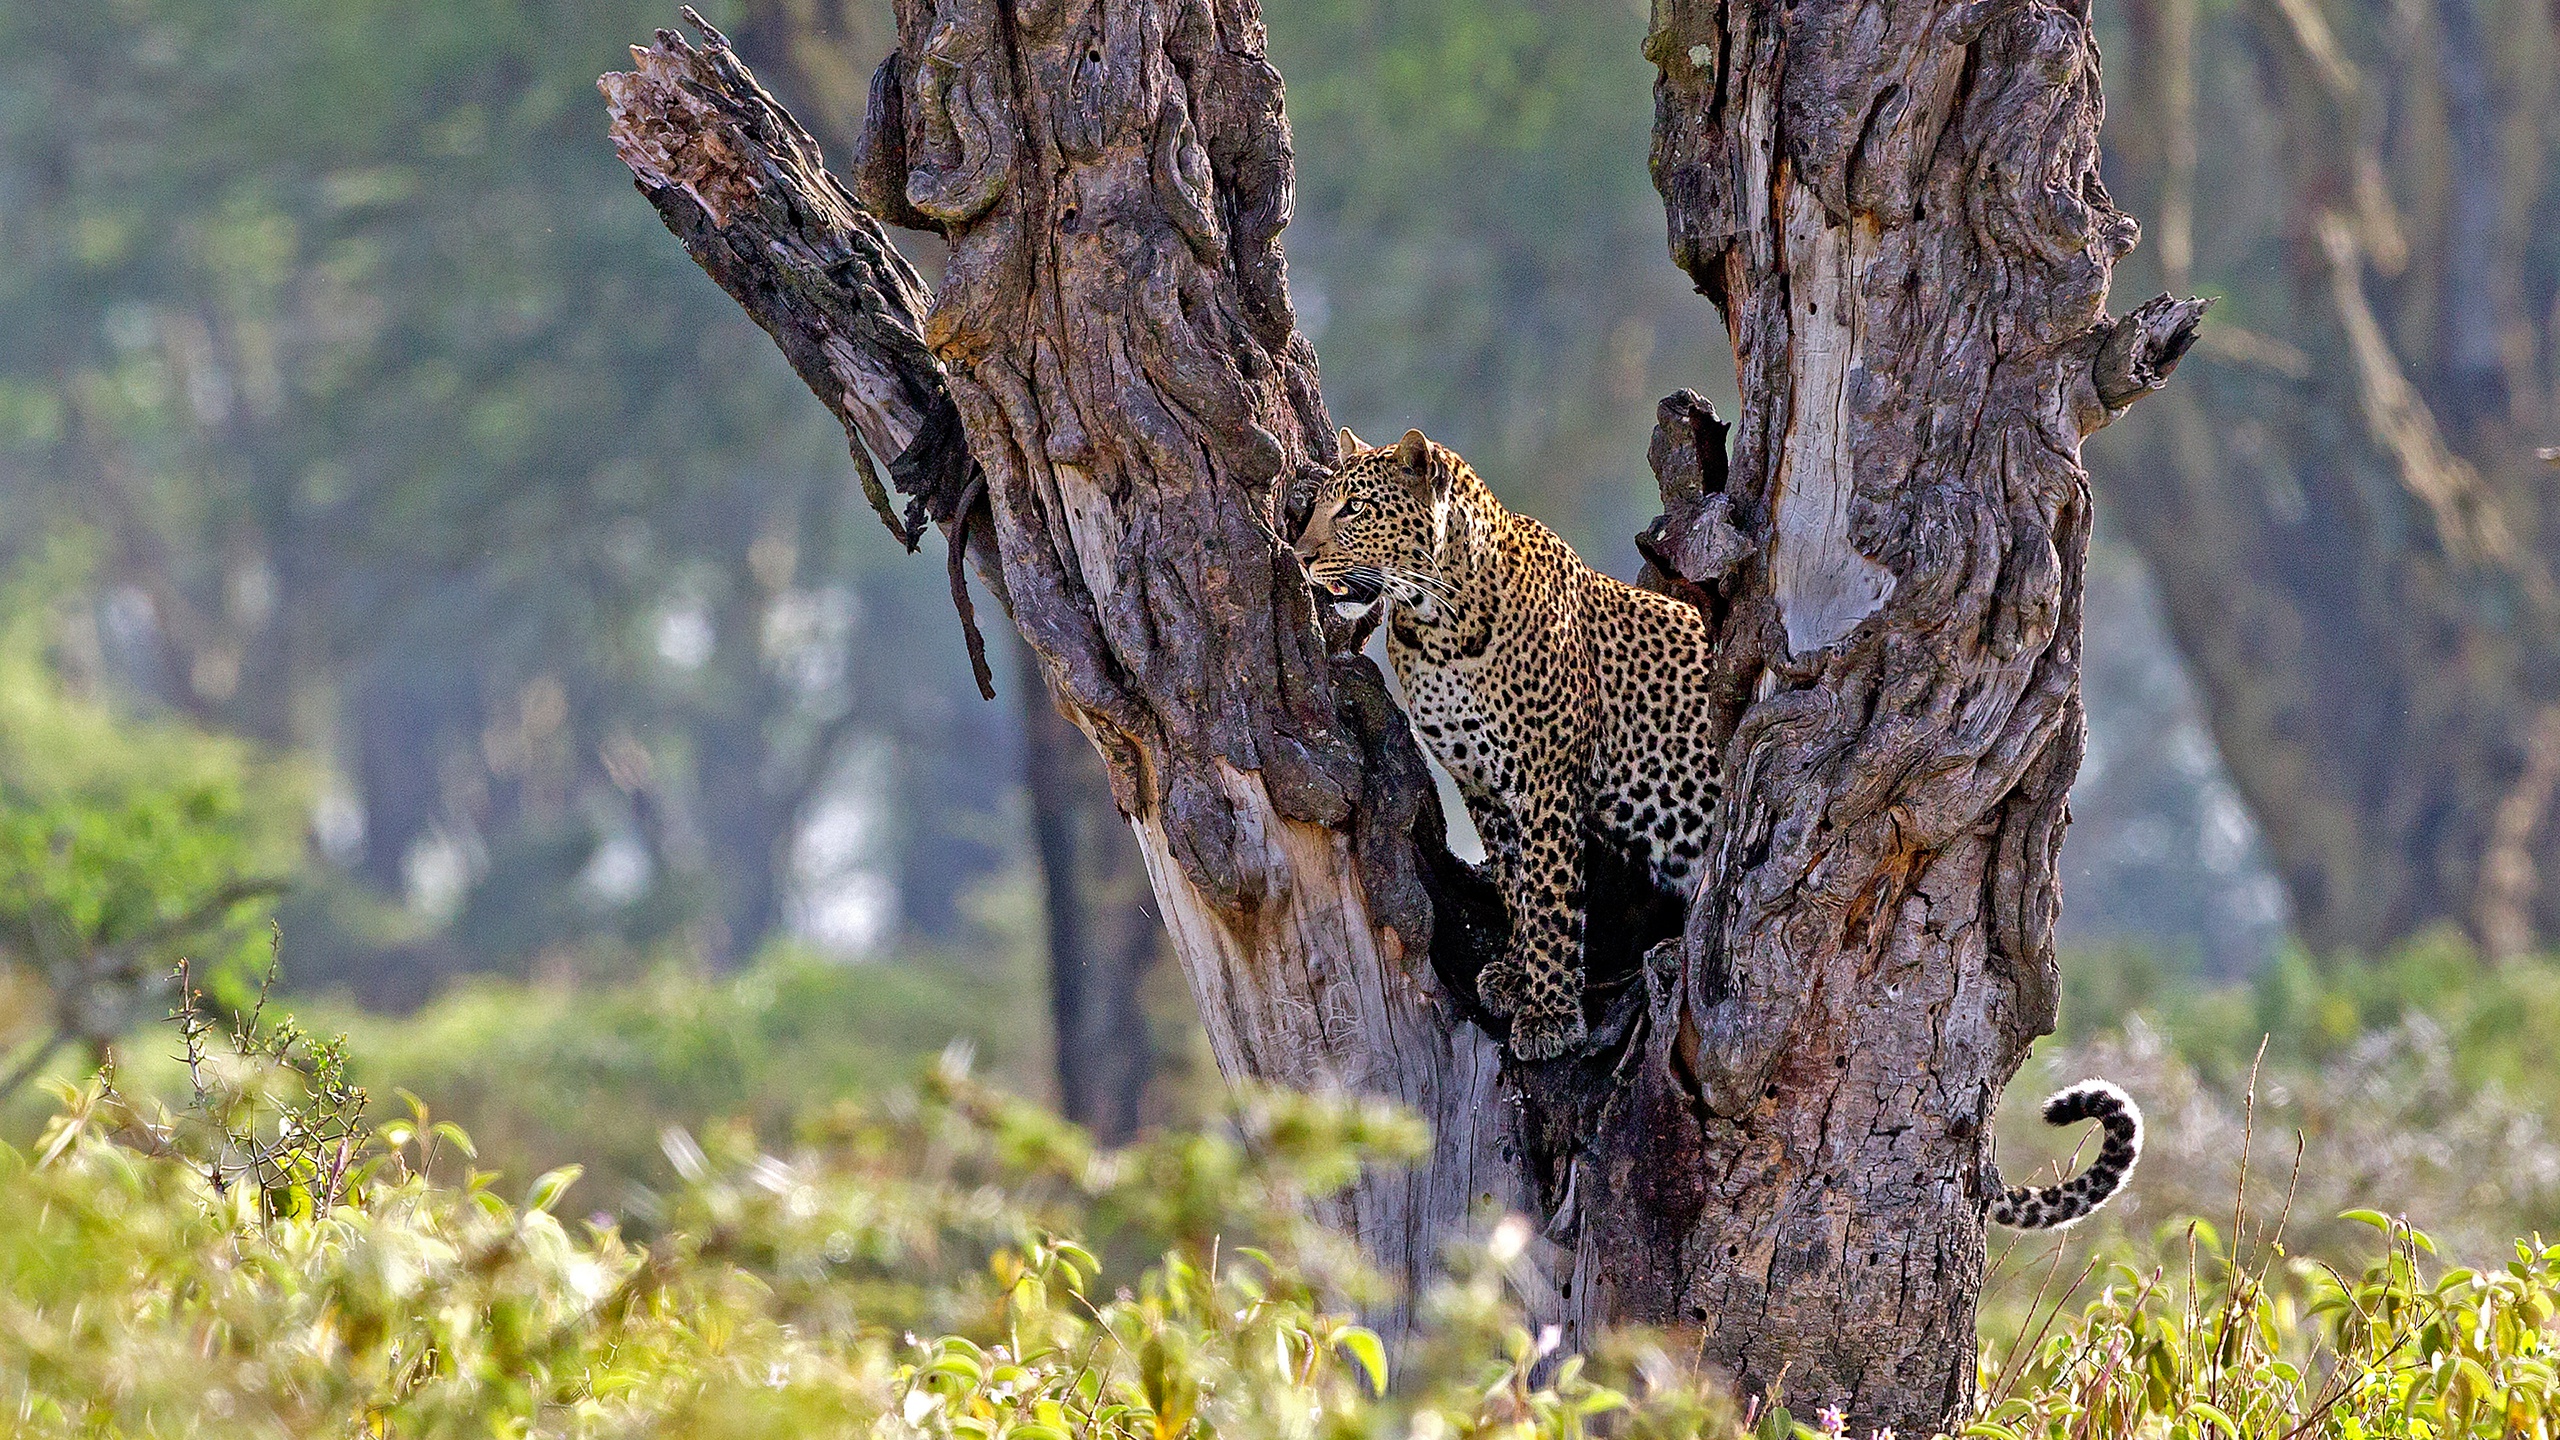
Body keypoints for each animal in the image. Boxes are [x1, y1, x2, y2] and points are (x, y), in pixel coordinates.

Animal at [1300, 425, 1720, 1055]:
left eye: (1354, 508)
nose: (1300, 554)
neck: (1438, 627)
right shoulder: (1479, 781)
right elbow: (1512, 881)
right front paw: (1518, 976)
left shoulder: (1546, 778)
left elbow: (1548, 894)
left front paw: (1549, 1016)